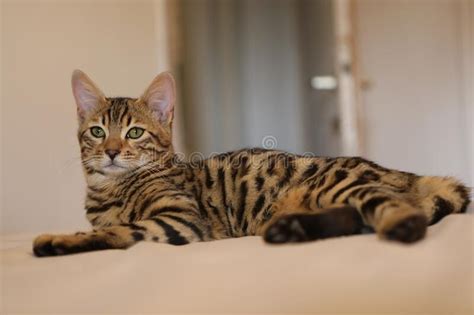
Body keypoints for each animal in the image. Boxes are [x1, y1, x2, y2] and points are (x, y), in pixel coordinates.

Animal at [32, 71, 470, 256]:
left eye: (135, 133)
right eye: (97, 132)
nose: (110, 151)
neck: (110, 190)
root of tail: (404, 174)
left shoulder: (181, 220)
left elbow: (122, 230)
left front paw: (61, 239)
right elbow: (113, 228)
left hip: (338, 184)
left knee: (391, 208)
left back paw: (402, 227)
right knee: (353, 219)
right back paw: (289, 231)